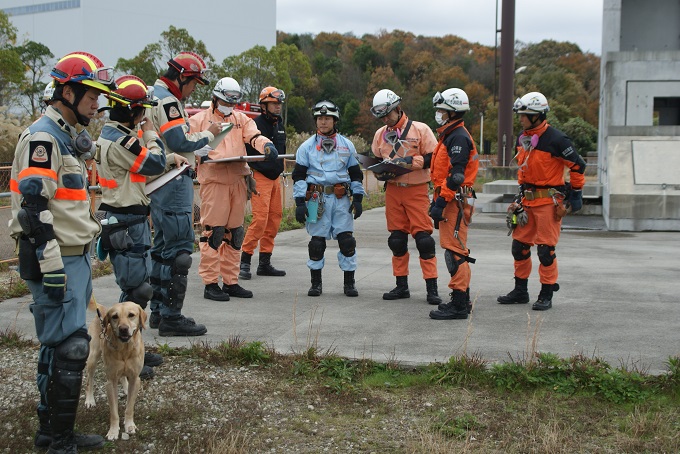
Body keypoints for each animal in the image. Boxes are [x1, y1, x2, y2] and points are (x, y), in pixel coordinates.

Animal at [83, 298, 146, 440]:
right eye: (115, 316)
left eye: (131, 315)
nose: (123, 329)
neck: (125, 349)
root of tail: (101, 310)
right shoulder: (110, 382)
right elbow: (114, 412)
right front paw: (113, 431)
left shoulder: (135, 378)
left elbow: (129, 408)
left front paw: (129, 425)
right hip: (93, 358)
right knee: (89, 380)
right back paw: (89, 400)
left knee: (123, 378)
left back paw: (126, 388)